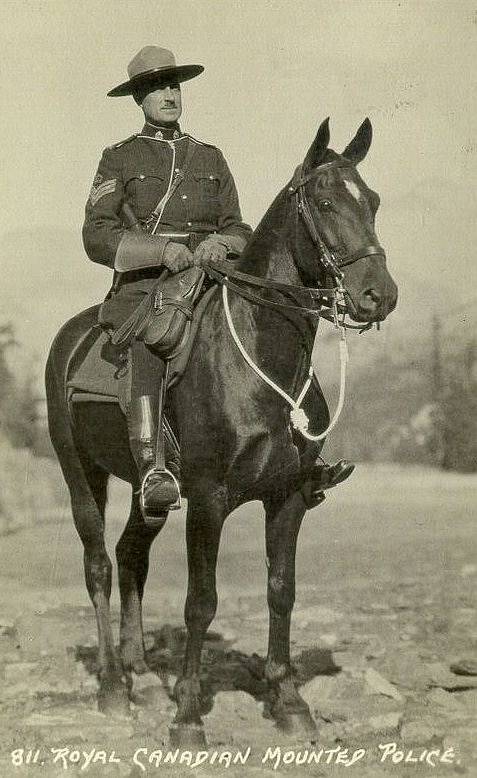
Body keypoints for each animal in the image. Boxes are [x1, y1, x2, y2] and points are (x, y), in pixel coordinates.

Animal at [46, 118, 398, 744]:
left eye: (373, 201)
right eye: (325, 203)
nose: (379, 295)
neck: (260, 358)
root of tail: (72, 335)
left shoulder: (288, 497)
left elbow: (280, 590)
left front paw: (288, 701)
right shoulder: (209, 500)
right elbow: (200, 602)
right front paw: (187, 715)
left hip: (149, 490)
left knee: (130, 554)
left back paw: (140, 670)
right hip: (81, 473)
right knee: (99, 565)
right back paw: (113, 686)